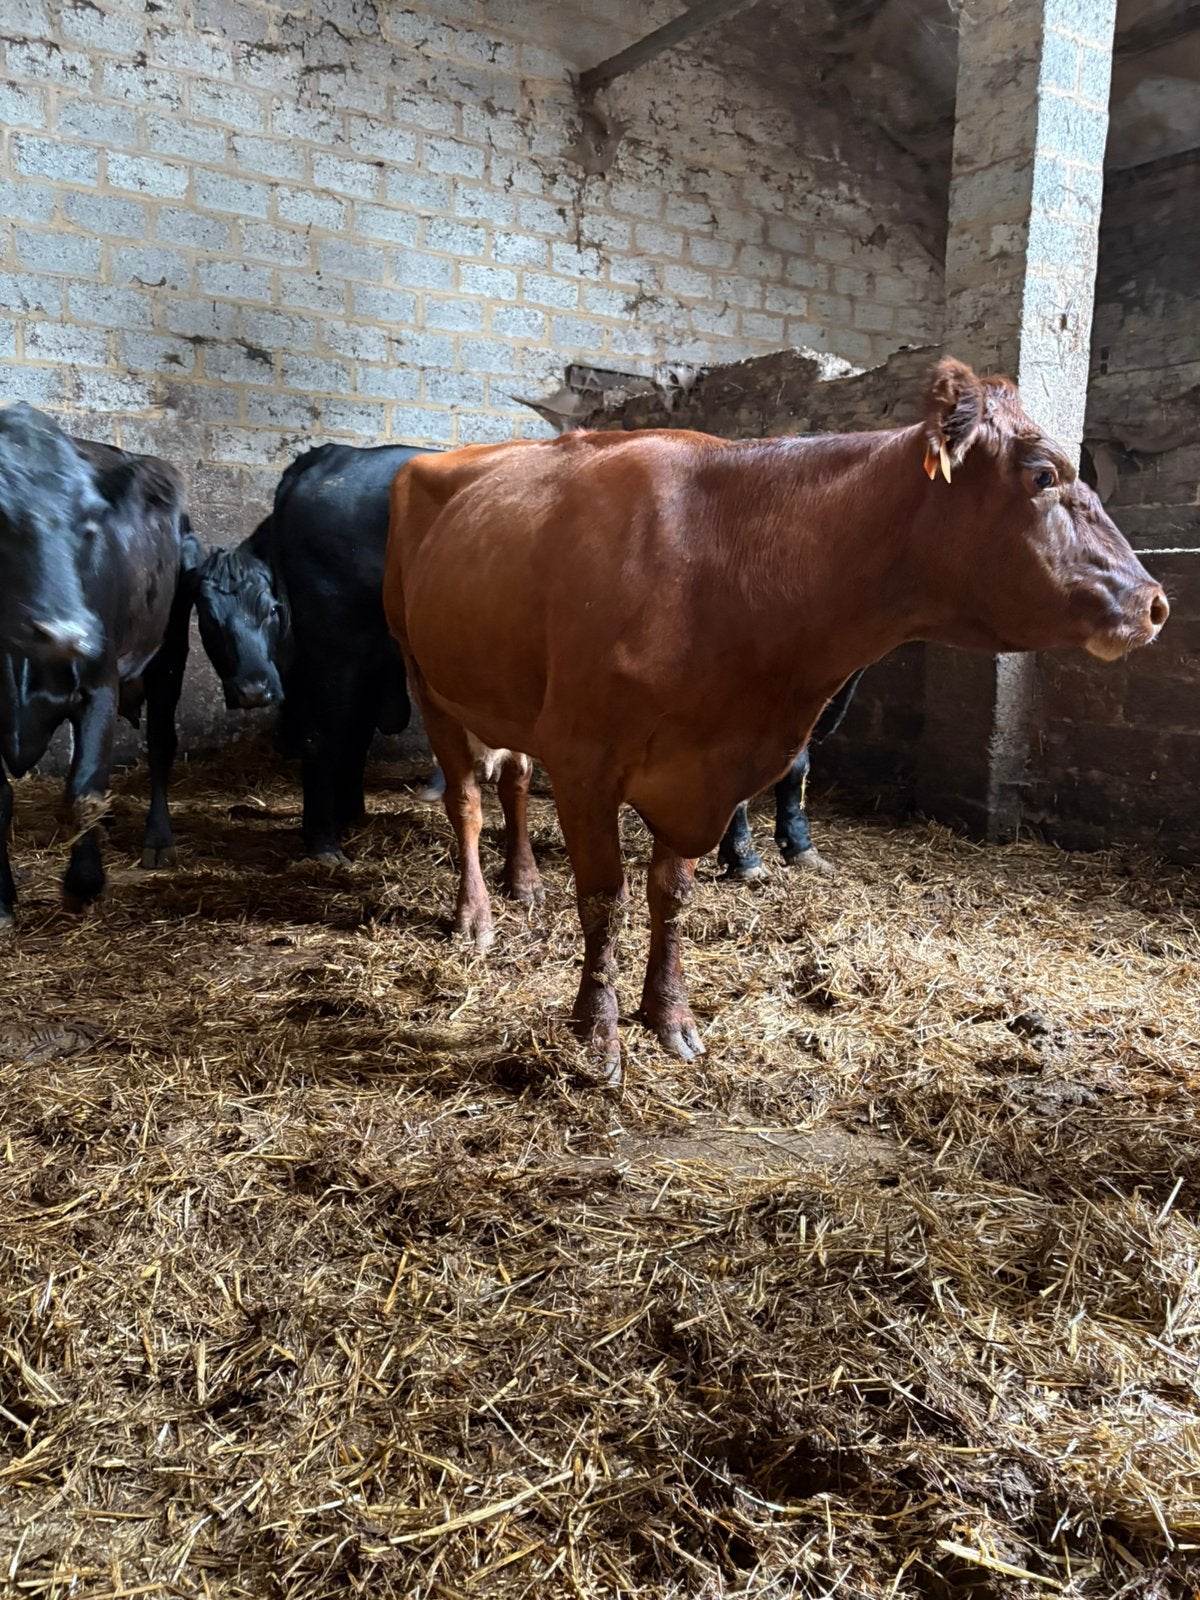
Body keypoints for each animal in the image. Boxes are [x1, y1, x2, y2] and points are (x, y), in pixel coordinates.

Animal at [0, 403, 194, 933]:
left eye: (91, 525)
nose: (69, 633)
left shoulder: (99, 685)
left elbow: (83, 789)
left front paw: (85, 884)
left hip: (169, 654)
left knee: (161, 745)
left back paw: (158, 840)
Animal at [382, 359, 1168, 1085]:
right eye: (1043, 475)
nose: (1155, 602)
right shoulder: (584, 762)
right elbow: (606, 898)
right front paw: (597, 1034)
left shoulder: (703, 774)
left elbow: (672, 895)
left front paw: (669, 1017)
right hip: (424, 677)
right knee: (467, 800)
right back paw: (476, 914)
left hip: (505, 694)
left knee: (513, 778)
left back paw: (522, 882)